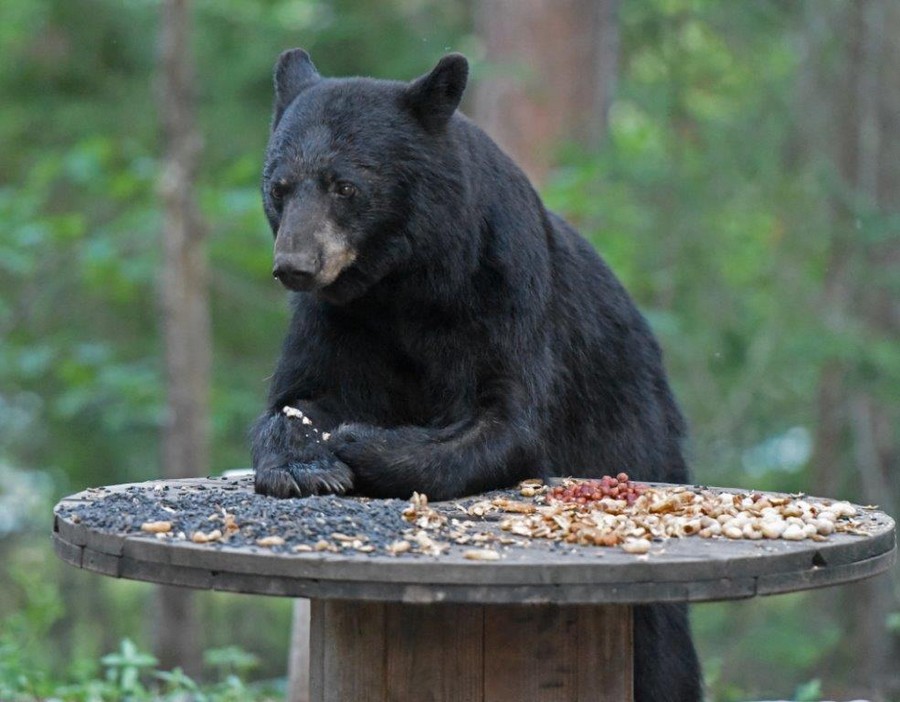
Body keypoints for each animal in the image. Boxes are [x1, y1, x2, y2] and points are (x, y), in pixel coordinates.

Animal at [251, 51, 704, 702]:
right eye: (278, 187)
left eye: (346, 186)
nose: (295, 266)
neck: (402, 285)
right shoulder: (339, 320)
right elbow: (300, 395)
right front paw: (305, 462)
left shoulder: (502, 291)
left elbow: (505, 422)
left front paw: (359, 443)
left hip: (634, 428)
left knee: (662, 643)